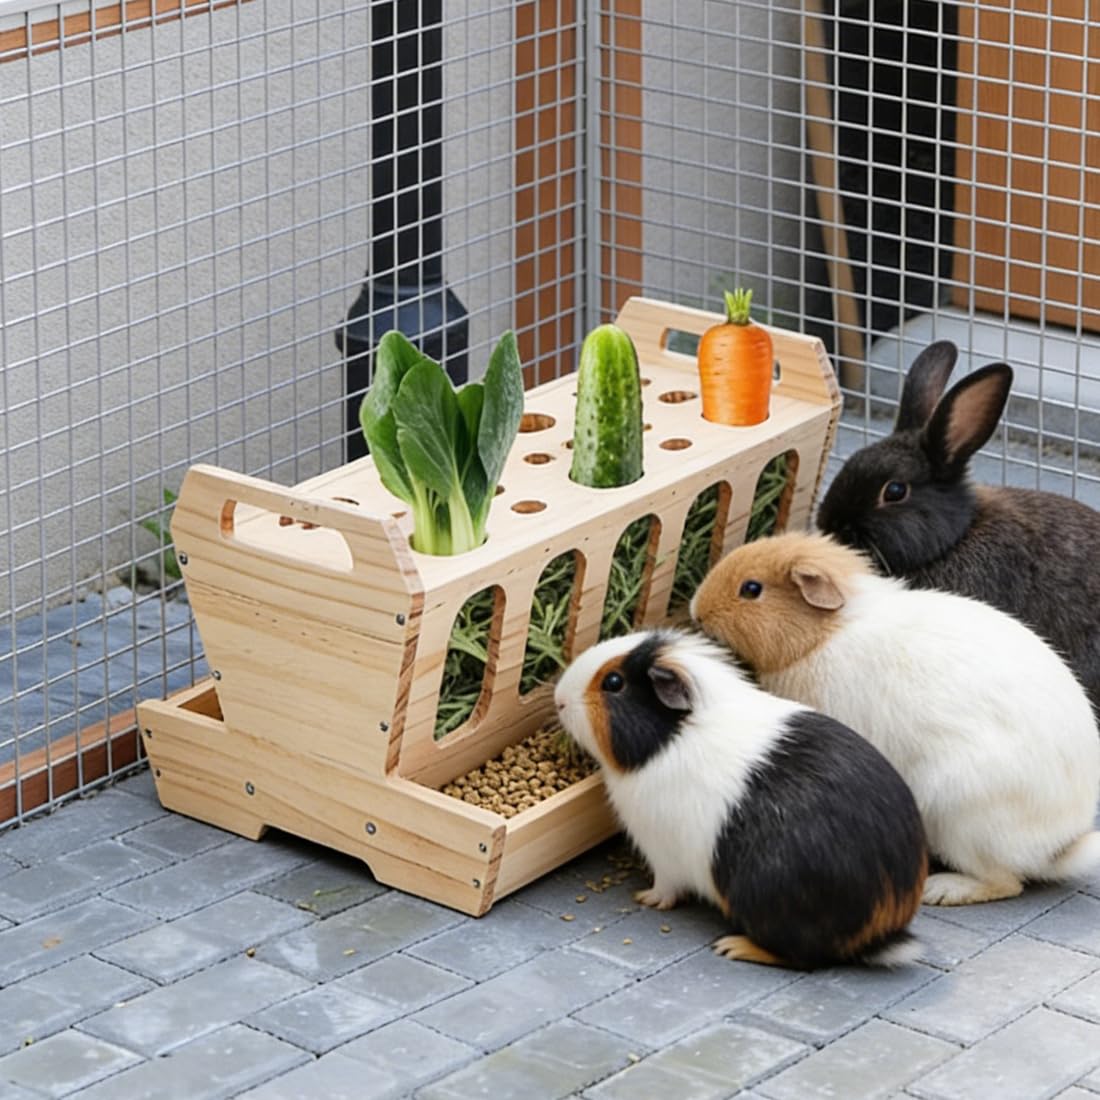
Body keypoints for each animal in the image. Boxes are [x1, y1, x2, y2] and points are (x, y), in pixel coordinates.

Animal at [553, 628, 928, 969]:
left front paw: (646, 898)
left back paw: (733, 947)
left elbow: (666, 887)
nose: (559, 698)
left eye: (613, 682)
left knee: (803, 959)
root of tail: (882, 931)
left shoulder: (664, 856)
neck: (668, 742)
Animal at [690, 530, 1100, 907]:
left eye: (751, 589)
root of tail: (1058, 845)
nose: (696, 609)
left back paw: (942, 890)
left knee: (1005, 882)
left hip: (957, 818)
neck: (822, 637)